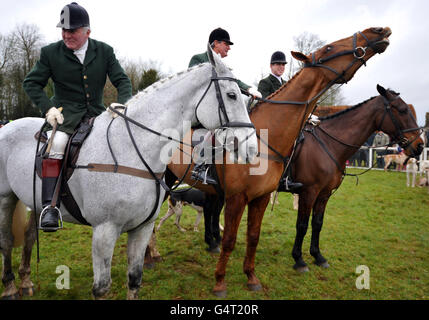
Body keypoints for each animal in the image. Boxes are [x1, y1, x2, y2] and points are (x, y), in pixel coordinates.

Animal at [165, 27, 394, 298]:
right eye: (328, 48)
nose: (378, 31)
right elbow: (234, 237)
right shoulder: (242, 197)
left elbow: (254, 236)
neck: (265, 139)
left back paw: (210, 243)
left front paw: (251, 277)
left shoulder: (264, 197)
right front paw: (220, 282)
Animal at [286, 84, 422, 272]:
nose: (420, 145)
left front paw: (317, 256)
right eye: (402, 110)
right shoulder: (308, 192)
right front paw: (298, 259)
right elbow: (302, 225)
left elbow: (317, 223)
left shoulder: (324, 193)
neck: (327, 144)